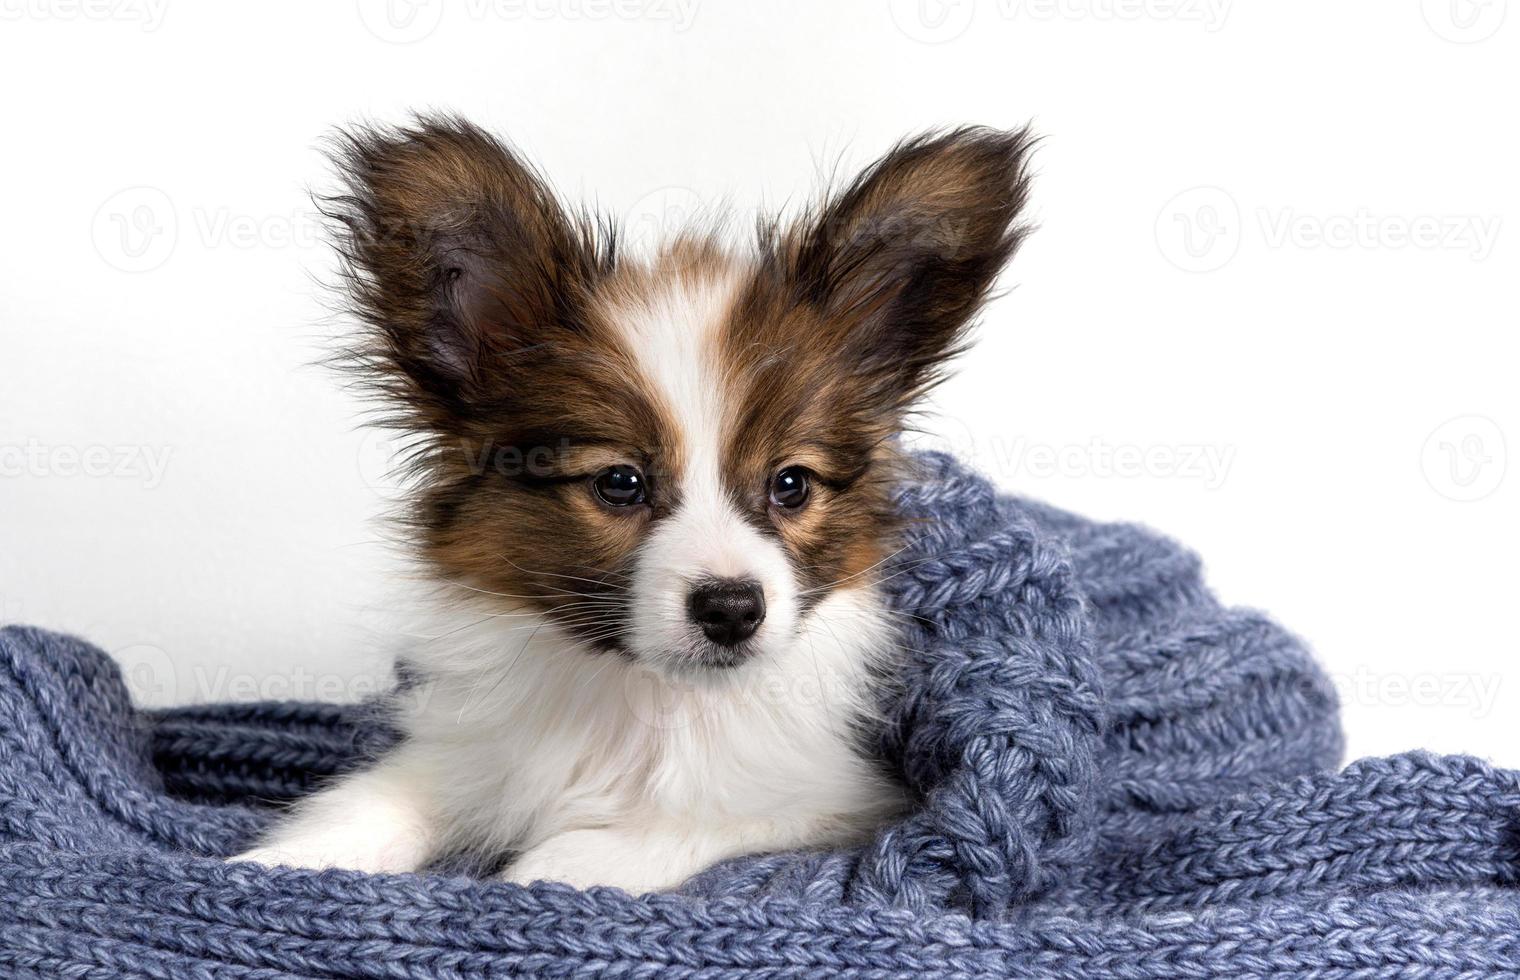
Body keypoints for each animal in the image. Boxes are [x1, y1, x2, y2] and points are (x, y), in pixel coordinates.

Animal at [234, 116, 1033, 893]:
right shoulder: (469, 754)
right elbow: (372, 801)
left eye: (791, 484)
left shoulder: (844, 800)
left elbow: (688, 824)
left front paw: (552, 867)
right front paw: (276, 864)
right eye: (620, 483)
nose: (732, 609)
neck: (646, 697)